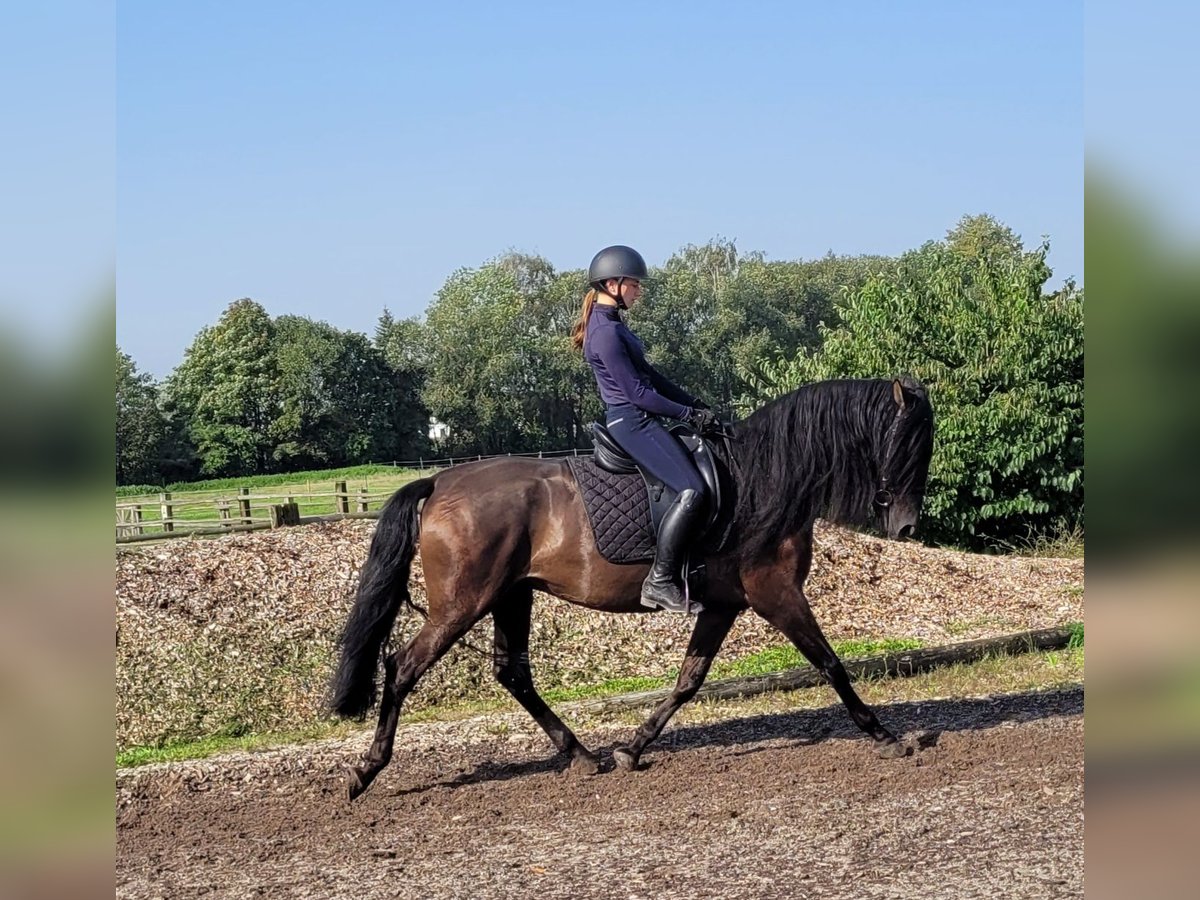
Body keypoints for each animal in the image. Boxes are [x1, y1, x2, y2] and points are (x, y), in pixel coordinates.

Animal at [331, 376, 936, 801]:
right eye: (909, 445)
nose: (908, 527)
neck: (763, 481)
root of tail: (439, 483)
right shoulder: (775, 594)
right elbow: (831, 664)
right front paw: (887, 736)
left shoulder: (722, 605)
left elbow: (690, 681)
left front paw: (633, 747)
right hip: (463, 602)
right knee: (402, 666)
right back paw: (366, 770)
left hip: (511, 595)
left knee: (512, 673)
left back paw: (582, 756)